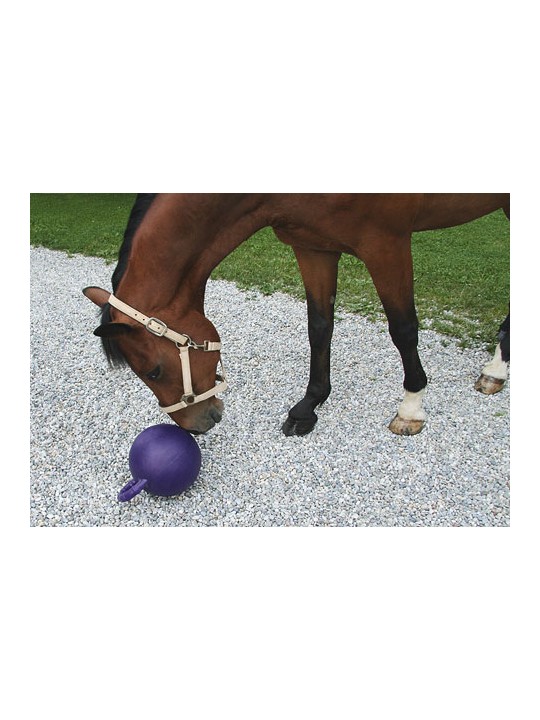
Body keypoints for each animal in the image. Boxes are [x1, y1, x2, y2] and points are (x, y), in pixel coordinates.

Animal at [83, 193, 510, 436]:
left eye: (154, 371)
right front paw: (309, 406)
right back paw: (497, 368)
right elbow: (319, 326)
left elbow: (403, 328)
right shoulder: (313, 246)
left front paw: (411, 407)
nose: (196, 427)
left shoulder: (386, 243)